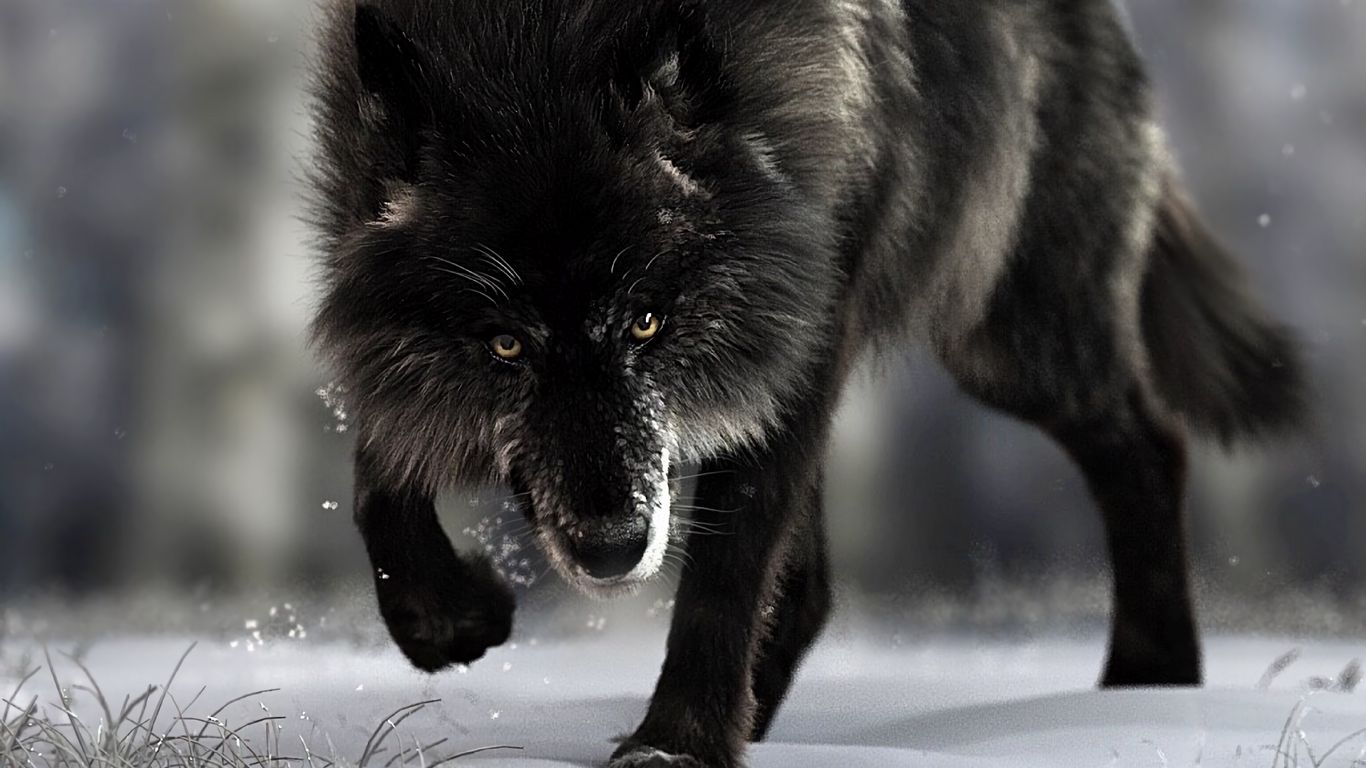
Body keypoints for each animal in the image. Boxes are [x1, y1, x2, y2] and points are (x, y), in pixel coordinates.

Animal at [308, 0, 1306, 765]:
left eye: (646, 322)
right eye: (507, 346)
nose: (612, 549)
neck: (534, 36)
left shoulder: (802, 327)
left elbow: (726, 572)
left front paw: (675, 748)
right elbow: (378, 473)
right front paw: (449, 617)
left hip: (1010, 339)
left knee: (1150, 447)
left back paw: (1148, 695)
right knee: (816, 586)